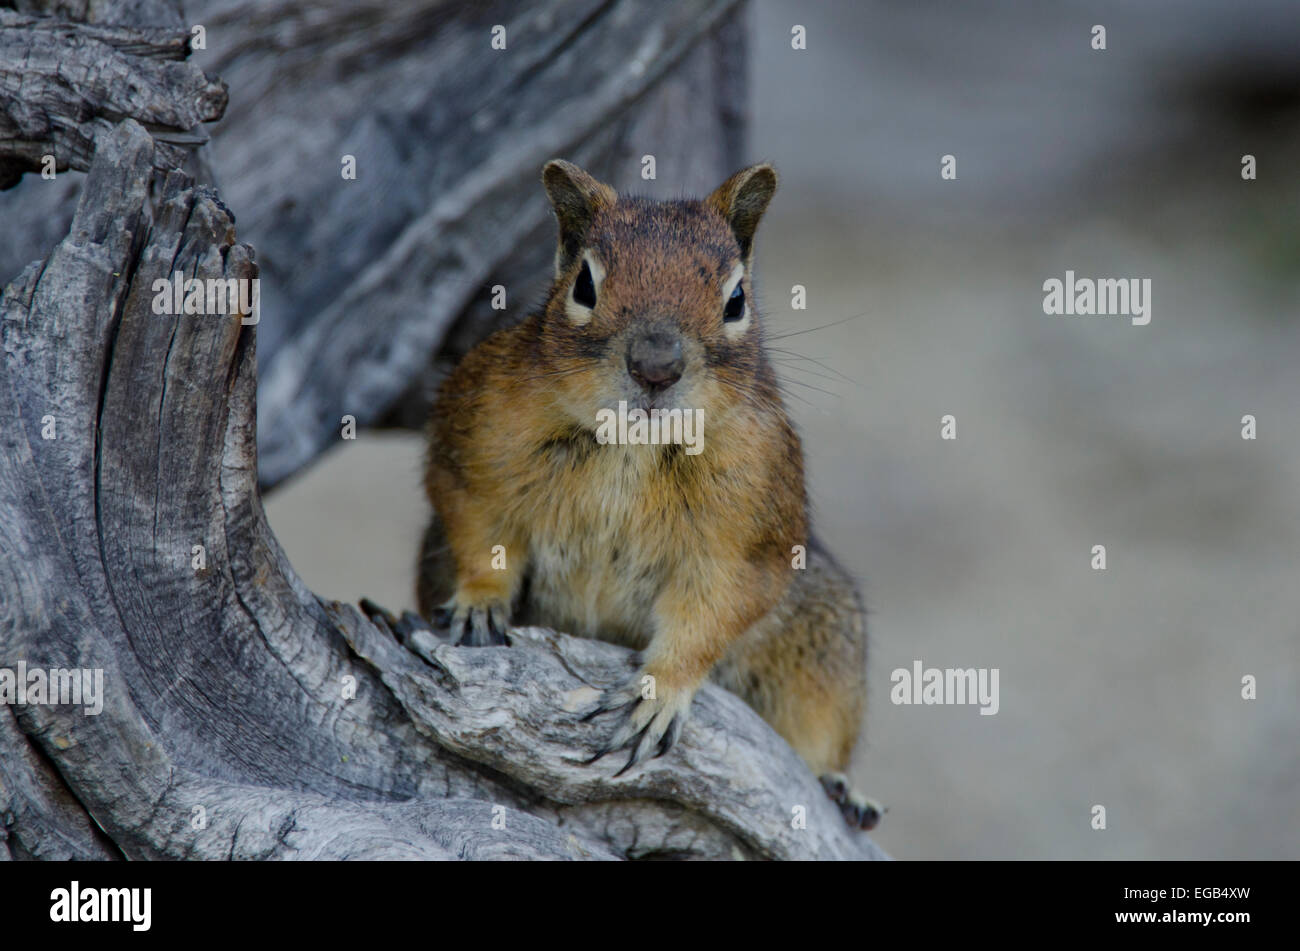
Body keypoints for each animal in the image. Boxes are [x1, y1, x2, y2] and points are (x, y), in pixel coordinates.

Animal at [416, 159, 878, 826]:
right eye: (584, 285)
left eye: (736, 299)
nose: (656, 366)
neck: (630, 445)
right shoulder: (473, 444)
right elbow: (477, 528)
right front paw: (481, 601)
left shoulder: (750, 535)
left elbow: (713, 612)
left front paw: (657, 691)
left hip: (823, 639)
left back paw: (842, 789)